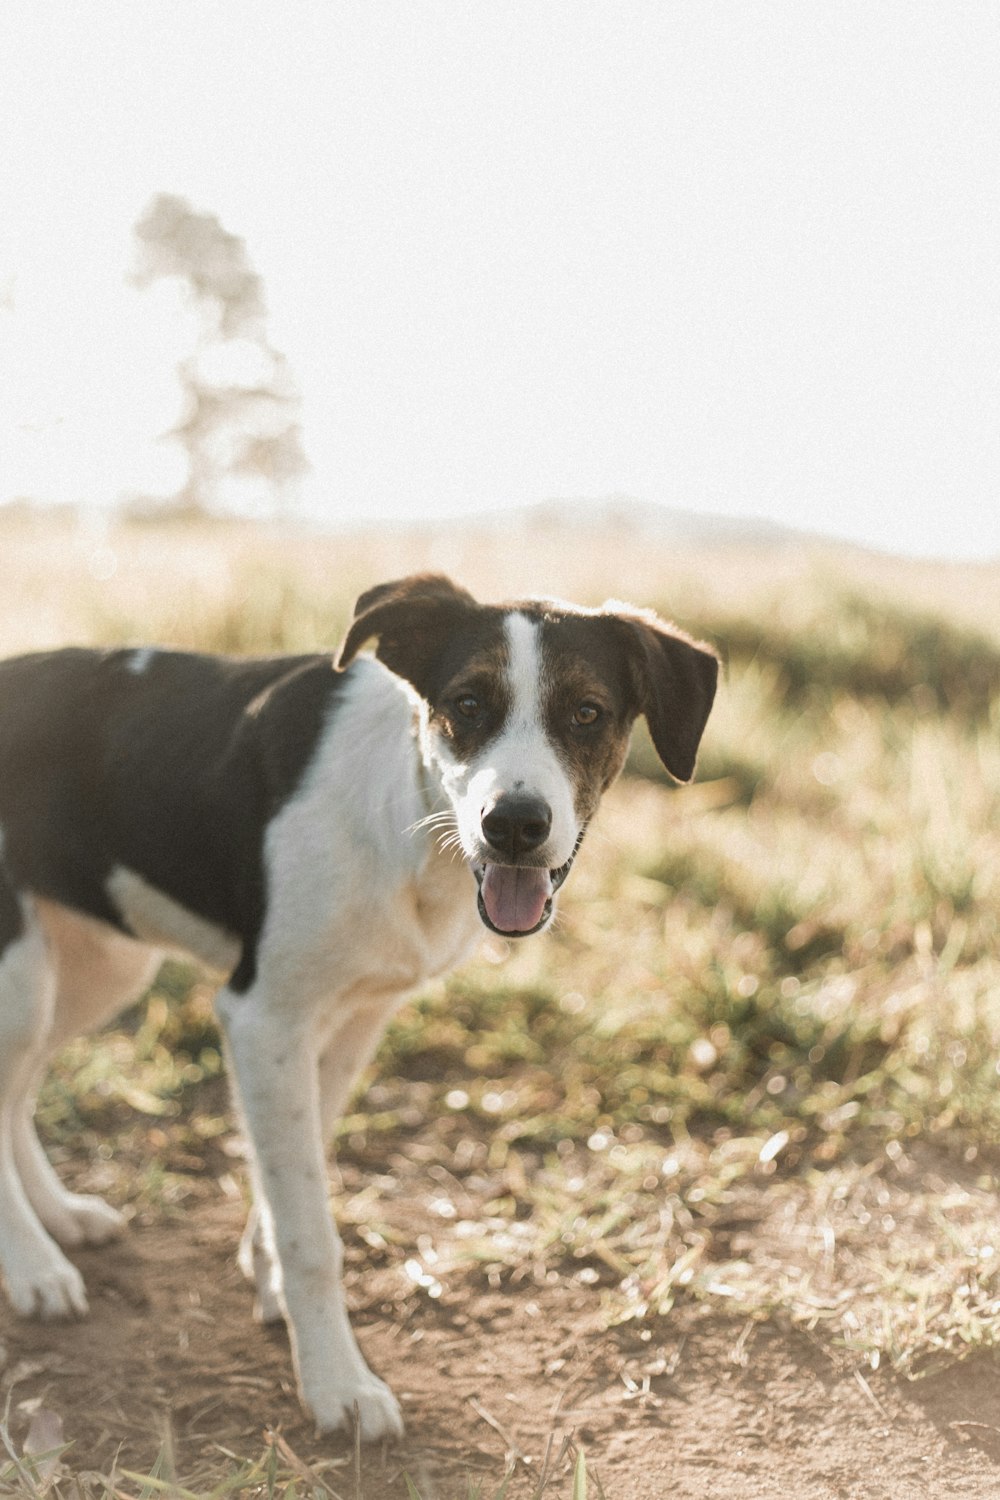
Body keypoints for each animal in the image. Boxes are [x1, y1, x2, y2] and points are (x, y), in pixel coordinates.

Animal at [0, 573, 719, 1440]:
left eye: (586, 712)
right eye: (467, 703)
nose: (514, 826)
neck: (411, 816)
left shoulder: (351, 1020)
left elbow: (294, 1176)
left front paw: (271, 1284)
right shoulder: (265, 1020)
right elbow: (312, 1230)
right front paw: (337, 1382)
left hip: (105, 964)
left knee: (17, 1092)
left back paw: (58, 1220)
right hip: (22, 976)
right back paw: (34, 1265)